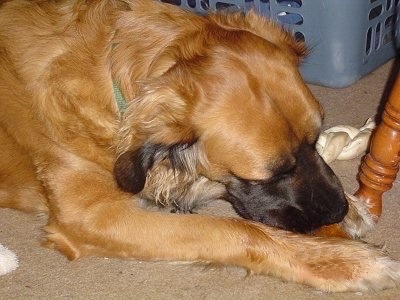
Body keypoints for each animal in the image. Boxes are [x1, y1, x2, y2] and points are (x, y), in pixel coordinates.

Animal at [0, 0, 400, 290]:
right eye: (269, 176)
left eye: (313, 141)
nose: (335, 211)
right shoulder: (92, 216)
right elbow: (236, 229)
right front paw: (344, 261)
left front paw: (352, 198)